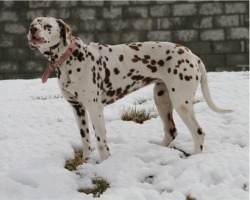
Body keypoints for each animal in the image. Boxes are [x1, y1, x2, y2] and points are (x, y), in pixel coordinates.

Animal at [27, 16, 232, 162]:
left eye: (47, 26)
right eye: (33, 23)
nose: (32, 29)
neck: (70, 58)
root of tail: (192, 54)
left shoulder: (95, 109)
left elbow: (101, 143)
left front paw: (105, 165)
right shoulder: (78, 109)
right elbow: (85, 140)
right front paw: (85, 162)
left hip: (181, 103)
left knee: (198, 133)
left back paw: (195, 157)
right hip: (161, 99)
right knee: (171, 131)